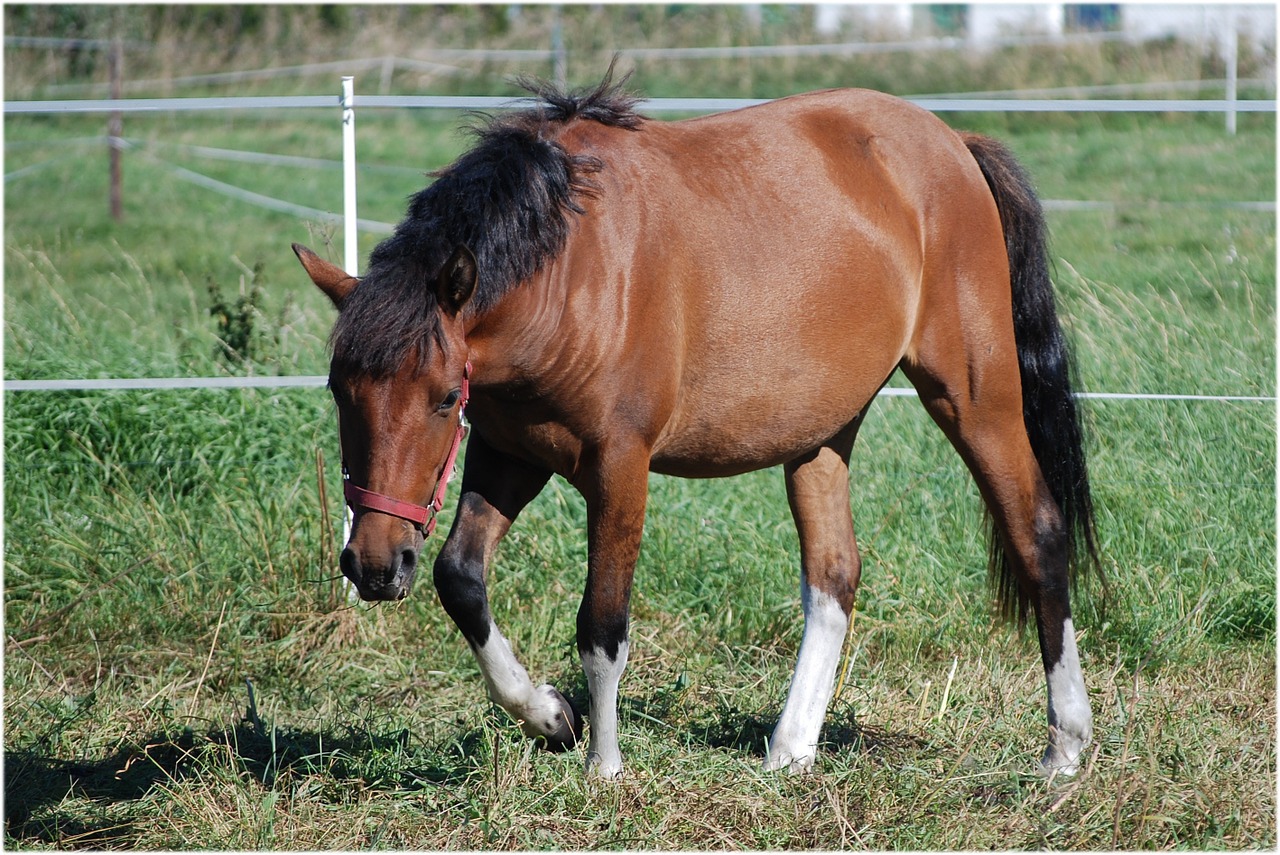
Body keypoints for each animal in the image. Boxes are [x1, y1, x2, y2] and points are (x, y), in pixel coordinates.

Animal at [293, 71, 1100, 783]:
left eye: (439, 398)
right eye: (338, 390)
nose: (373, 564)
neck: (572, 267)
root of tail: (952, 141)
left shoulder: (617, 465)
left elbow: (602, 624)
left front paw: (605, 768)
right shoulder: (509, 452)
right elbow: (461, 579)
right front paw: (551, 717)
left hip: (975, 397)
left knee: (1036, 532)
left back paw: (1065, 746)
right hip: (821, 430)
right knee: (833, 575)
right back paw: (791, 751)